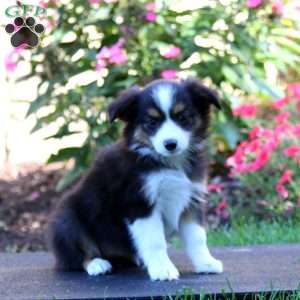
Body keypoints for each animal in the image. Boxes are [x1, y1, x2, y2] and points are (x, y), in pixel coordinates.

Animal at [48, 78, 223, 282]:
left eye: (183, 117)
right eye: (151, 122)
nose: (170, 144)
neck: (167, 162)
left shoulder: (191, 199)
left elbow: (198, 237)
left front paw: (206, 263)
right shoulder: (139, 202)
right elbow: (155, 241)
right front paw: (163, 269)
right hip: (66, 218)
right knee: (76, 254)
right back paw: (97, 264)